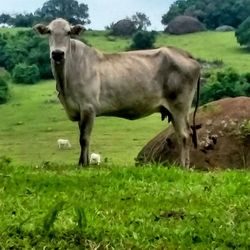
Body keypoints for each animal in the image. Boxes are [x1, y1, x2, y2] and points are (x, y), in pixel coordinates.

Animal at [34, 18, 200, 168]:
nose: (57, 53)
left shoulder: (88, 108)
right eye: (49, 31)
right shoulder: (79, 111)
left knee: (185, 135)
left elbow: (84, 138)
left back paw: (184, 167)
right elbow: (84, 136)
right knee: (180, 134)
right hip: (174, 111)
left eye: (68, 32)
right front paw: (84, 162)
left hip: (180, 106)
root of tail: (184, 54)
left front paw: (83, 164)